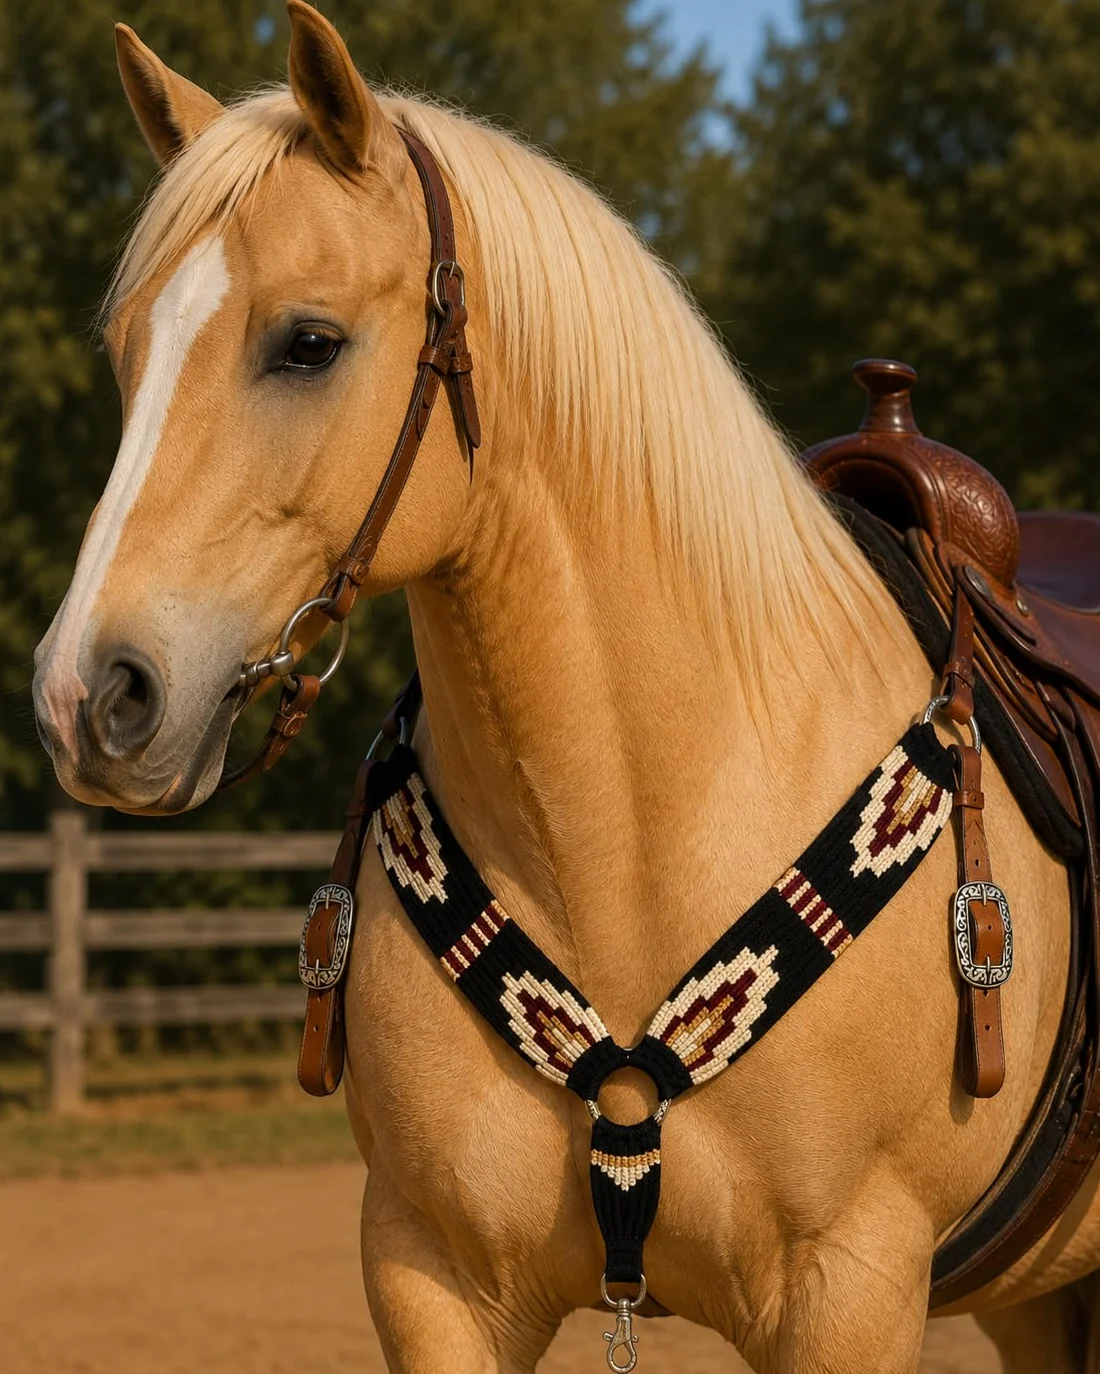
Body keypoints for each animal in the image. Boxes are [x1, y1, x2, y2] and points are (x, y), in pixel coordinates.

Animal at [30, 5, 1100, 1370]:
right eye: (126, 354)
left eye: (308, 343)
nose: (89, 696)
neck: (637, 830)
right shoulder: (430, 1276)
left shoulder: (848, 1293)